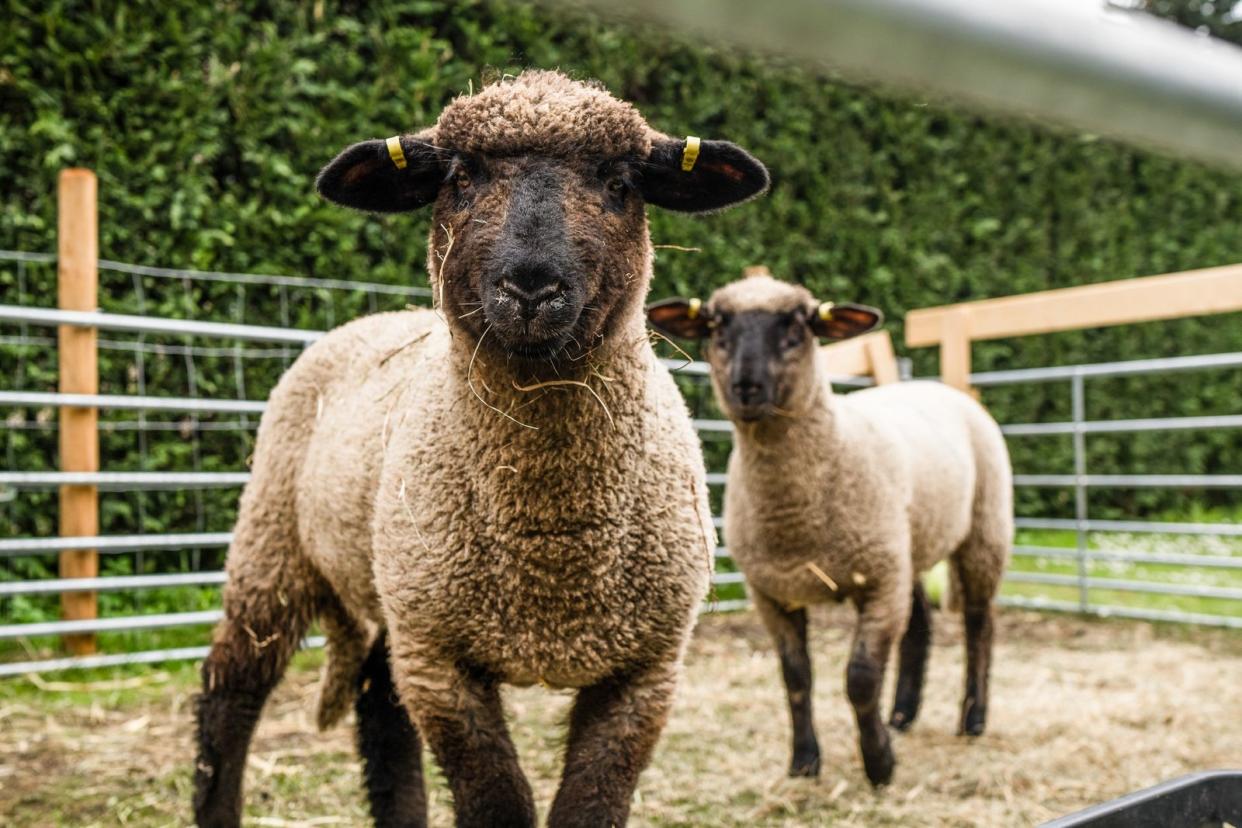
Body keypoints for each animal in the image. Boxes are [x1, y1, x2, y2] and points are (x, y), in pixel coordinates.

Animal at [190, 71, 770, 828]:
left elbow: (589, 806)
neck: (551, 546)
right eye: (461, 178)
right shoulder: (441, 665)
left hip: (390, 589)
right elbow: (497, 802)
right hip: (276, 544)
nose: (531, 285)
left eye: (619, 182)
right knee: (232, 691)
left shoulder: (646, 670)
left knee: (378, 706)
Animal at [645, 273, 1013, 789]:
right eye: (716, 326)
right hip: (907, 544)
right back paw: (902, 714)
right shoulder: (773, 593)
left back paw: (973, 718)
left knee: (980, 623)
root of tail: (935, 387)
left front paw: (879, 764)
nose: (746, 386)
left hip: (983, 529)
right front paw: (804, 761)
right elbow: (796, 678)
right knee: (920, 623)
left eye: (798, 326)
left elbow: (860, 678)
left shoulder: (877, 582)